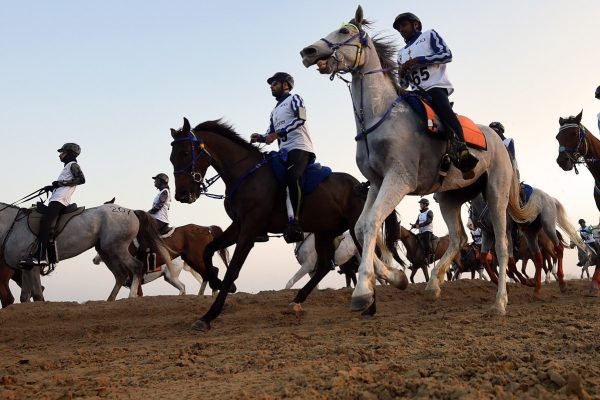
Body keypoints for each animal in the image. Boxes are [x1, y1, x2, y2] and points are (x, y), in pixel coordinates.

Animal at [0, 203, 173, 304]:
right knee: (120, 275)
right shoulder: (25, 268)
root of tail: (131, 211)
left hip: (117, 249)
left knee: (136, 267)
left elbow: (37, 296)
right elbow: (24, 297)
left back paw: (130, 297)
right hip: (106, 251)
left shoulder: (34, 267)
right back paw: (109, 300)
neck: (13, 226)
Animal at [168, 118, 408, 332]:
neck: (246, 174)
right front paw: (216, 283)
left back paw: (369, 304)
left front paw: (209, 315)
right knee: (323, 266)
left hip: (354, 229)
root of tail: (362, 185)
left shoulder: (249, 229)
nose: (182, 195)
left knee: (364, 257)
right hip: (324, 232)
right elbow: (208, 251)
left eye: (185, 153)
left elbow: (233, 269)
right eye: (172, 158)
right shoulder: (238, 226)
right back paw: (298, 301)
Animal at [298, 4, 536, 314]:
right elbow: (362, 227)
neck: (380, 117)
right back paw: (433, 285)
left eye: (344, 31)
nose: (308, 52)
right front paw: (395, 276)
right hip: (449, 197)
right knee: (459, 237)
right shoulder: (377, 182)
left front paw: (363, 291)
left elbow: (373, 221)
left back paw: (499, 303)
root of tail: (497, 140)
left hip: (495, 192)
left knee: (502, 248)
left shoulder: (399, 180)